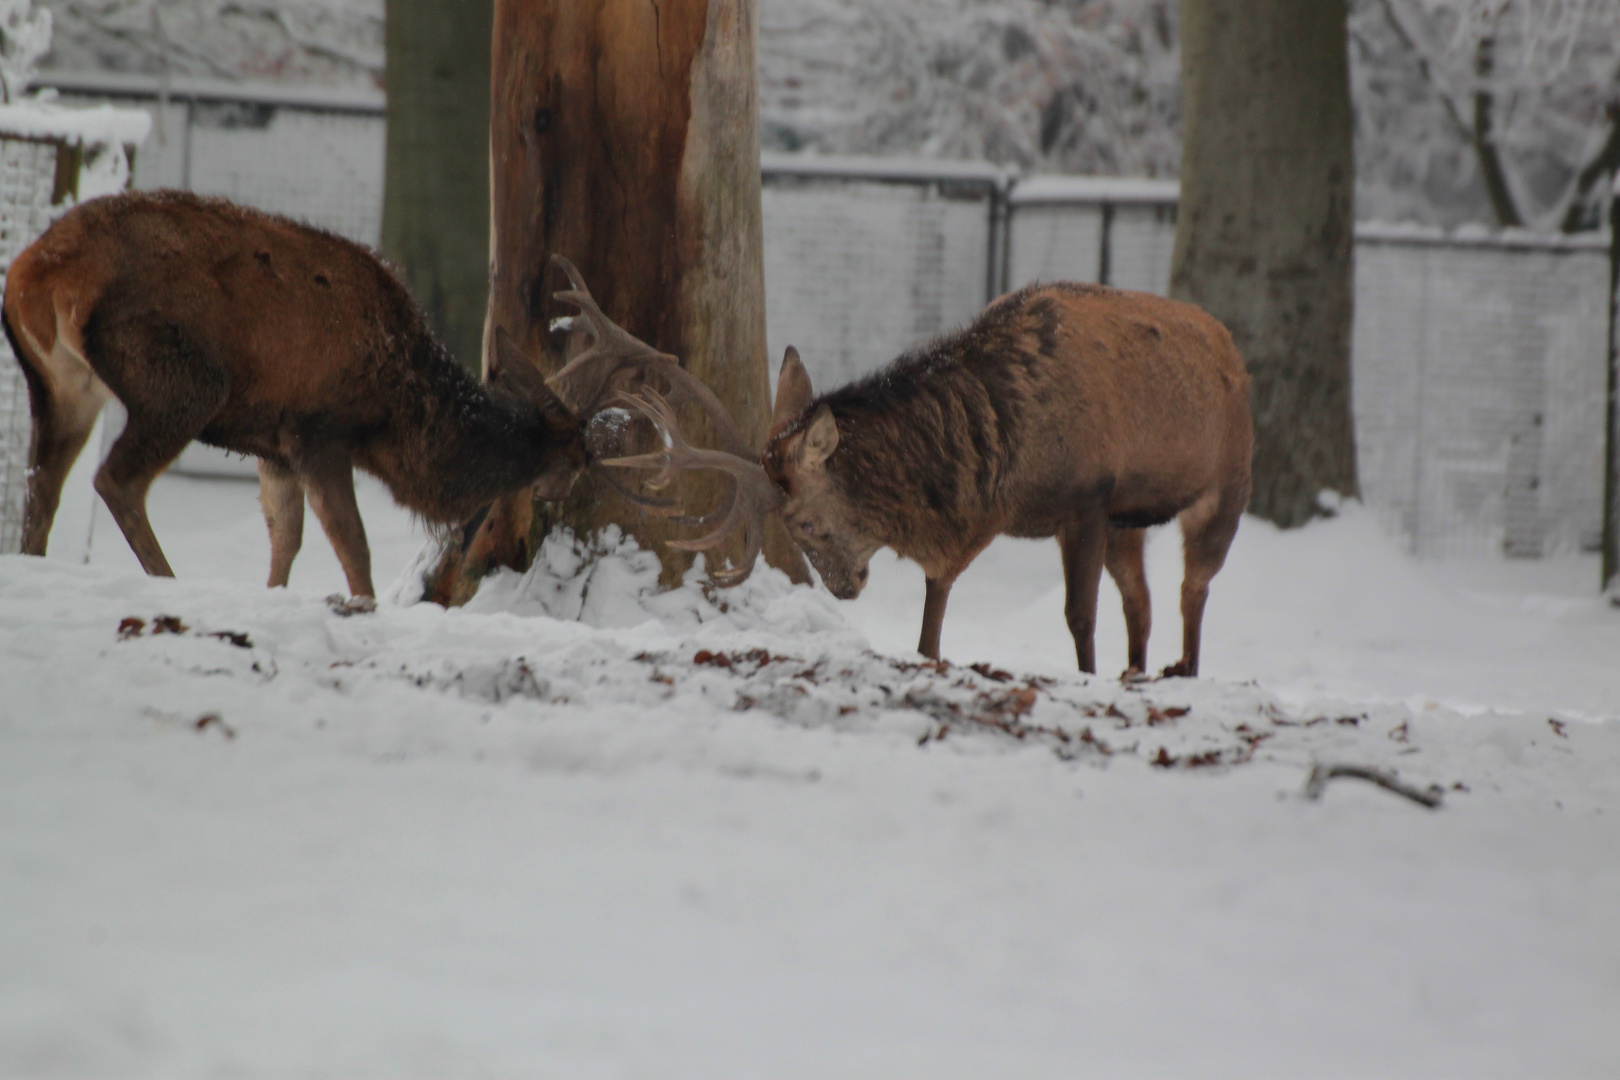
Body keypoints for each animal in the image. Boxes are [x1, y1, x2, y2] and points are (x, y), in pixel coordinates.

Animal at [4, 190, 729, 605]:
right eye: (578, 461)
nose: (559, 502)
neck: (402, 414)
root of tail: (39, 271)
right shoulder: (318, 426)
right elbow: (351, 541)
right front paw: (363, 603)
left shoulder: (272, 440)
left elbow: (287, 536)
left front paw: (275, 596)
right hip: (180, 380)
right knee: (114, 479)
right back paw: (167, 579)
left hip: (59, 384)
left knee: (43, 485)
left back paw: (35, 565)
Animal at [605, 283, 1250, 680]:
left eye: (804, 522)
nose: (841, 588)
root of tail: (1230, 345)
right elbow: (933, 615)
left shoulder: (1089, 499)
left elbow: (1079, 616)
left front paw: (1086, 676)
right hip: (1129, 522)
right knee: (1141, 600)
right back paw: (1138, 671)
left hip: (1227, 484)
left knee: (1192, 587)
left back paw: (1183, 668)